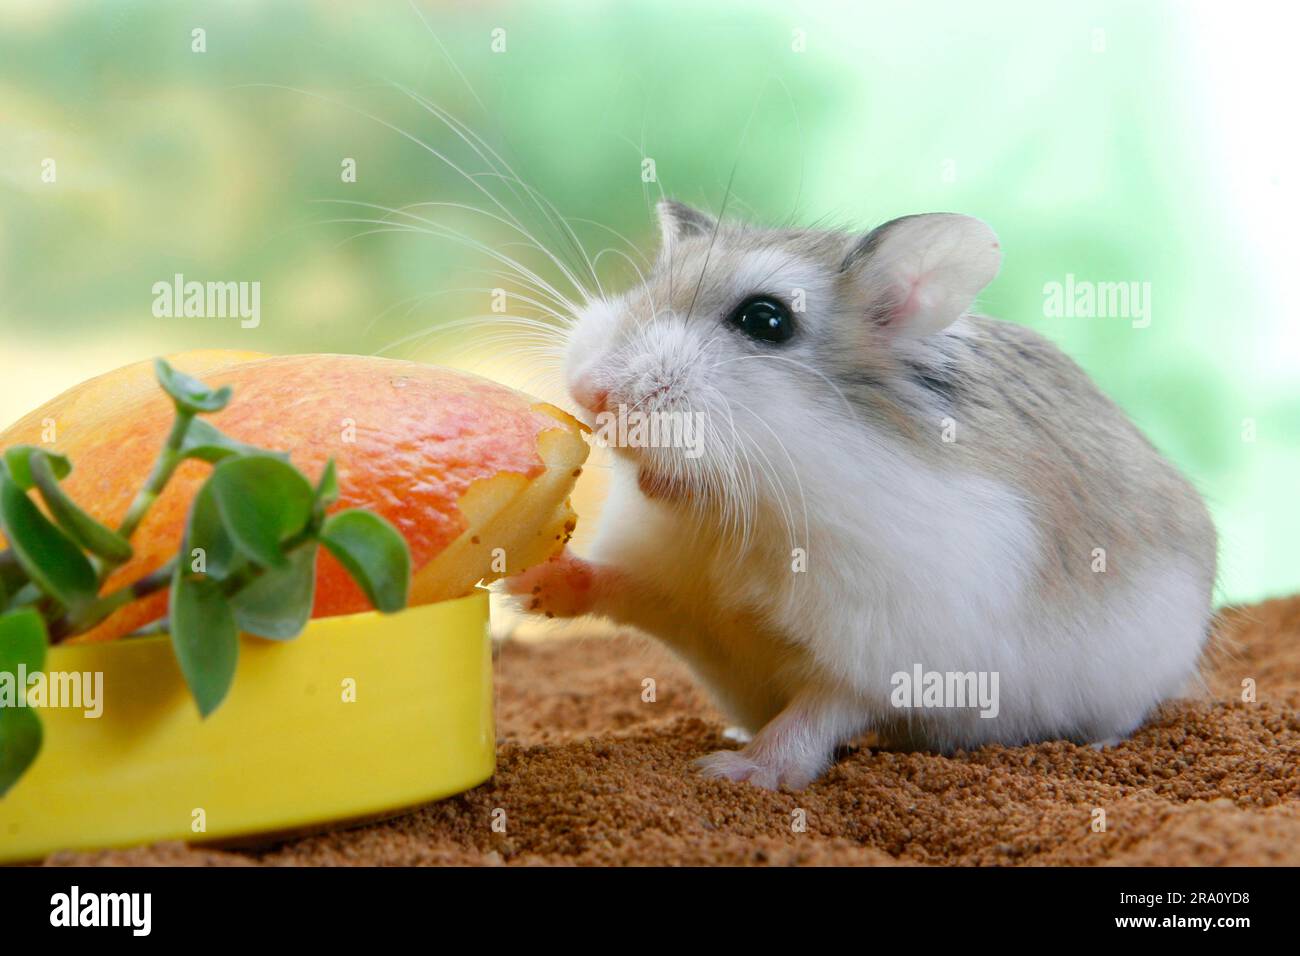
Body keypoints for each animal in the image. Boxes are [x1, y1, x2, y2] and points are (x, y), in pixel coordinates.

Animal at [501, 197, 1211, 790]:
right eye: (651, 281)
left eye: (766, 320)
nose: (590, 391)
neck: (738, 503)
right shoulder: (677, 591)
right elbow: (616, 586)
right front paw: (525, 584)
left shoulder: (877, 654)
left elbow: (817, 715)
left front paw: (734, 773)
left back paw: (1099, 745)